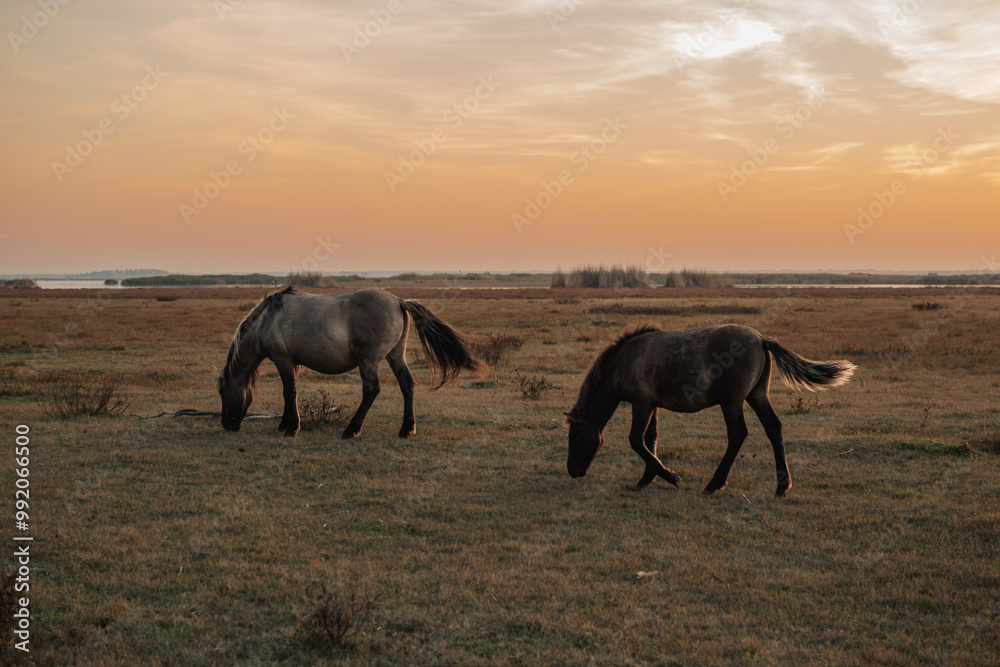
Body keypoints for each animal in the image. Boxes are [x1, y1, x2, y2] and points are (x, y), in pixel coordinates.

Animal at [217, 287, 484, 438]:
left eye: (222, 392)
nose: (227, 425)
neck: (268, 319)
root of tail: (399, 301)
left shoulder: (283, 360)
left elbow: (289, 391)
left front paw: (292, 428)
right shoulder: (293, 362)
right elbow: (289, 393)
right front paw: (285, 424)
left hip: (369, 361)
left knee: (371, 390)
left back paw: (351, 430)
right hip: (395, 355)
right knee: (407, 384)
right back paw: (407, 429)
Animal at [565, 324, 856, 496]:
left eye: (573, 437)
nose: (572, 471)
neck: (625, 362)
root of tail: (761, 339)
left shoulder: (642, 404)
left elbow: (637, 441)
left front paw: (669, 476)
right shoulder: (651, 405)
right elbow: (650, 439)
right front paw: (648, 478)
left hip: (732, 402)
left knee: (737, 435)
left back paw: (714, 484)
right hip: (757, 395)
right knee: (774, 429)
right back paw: (782, 486)